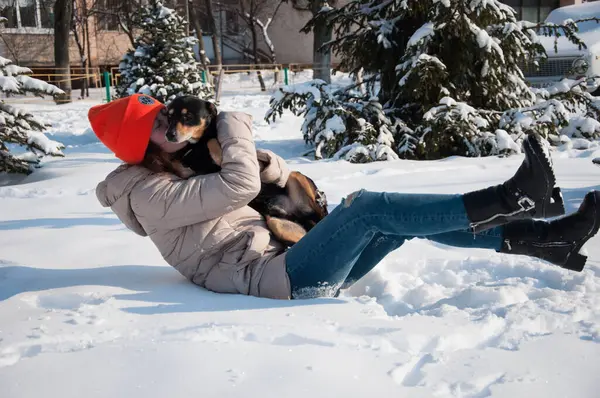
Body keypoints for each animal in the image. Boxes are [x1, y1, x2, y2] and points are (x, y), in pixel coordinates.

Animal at [164, 95, 328, 246]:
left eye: (188, 116)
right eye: (169, 117)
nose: (169, 135)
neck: (196, 145)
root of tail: (304, 216)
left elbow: (212, 141)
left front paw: (219, 155)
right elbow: (178, 162)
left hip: (295, 177)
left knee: (321, 211)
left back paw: (321, 200)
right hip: (280, 225)